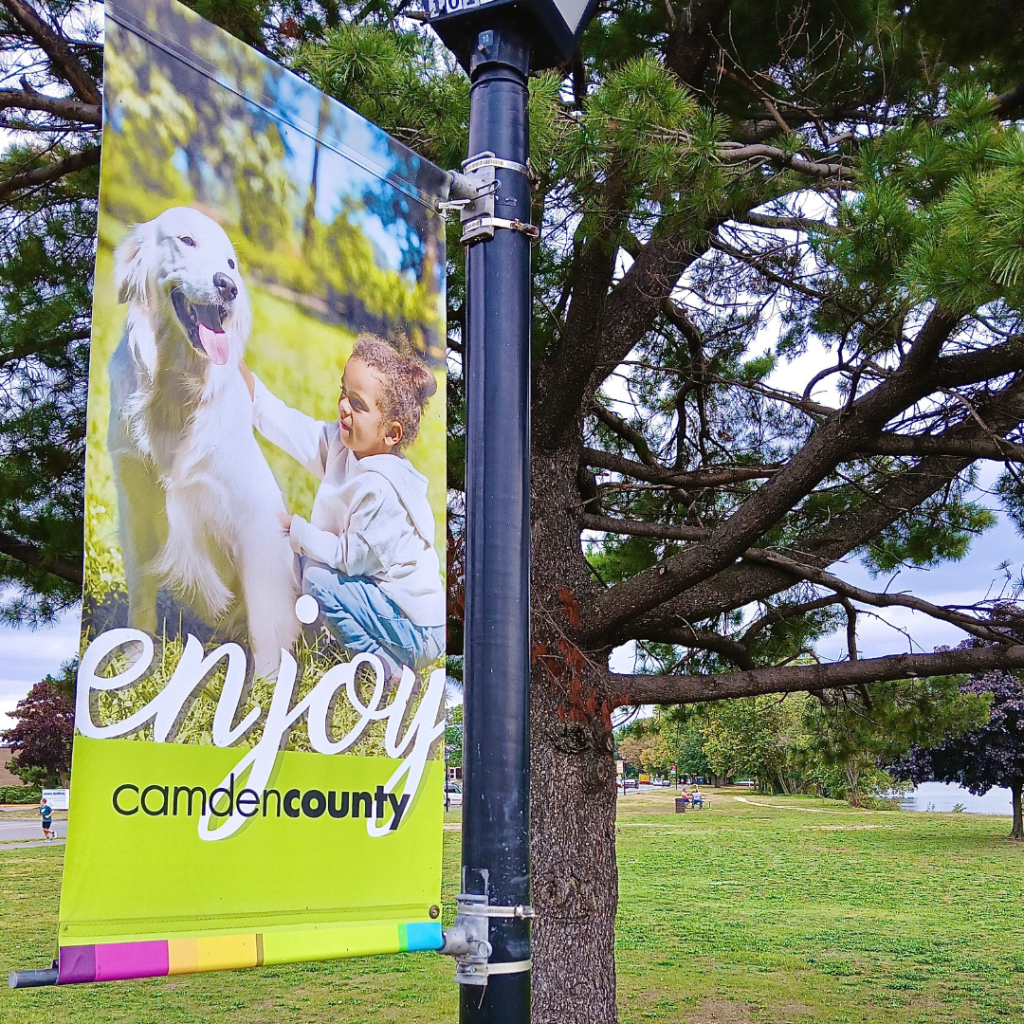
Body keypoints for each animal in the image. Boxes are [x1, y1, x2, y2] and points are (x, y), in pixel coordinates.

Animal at [109, 207, 300, 678]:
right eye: (187, 240)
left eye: (231, 263)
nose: (228, 286)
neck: (176, 389)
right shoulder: (134, 502)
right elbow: (141, 596)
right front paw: (135, 661)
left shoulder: (254, 523)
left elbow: (266, 621)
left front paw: (268, 687)